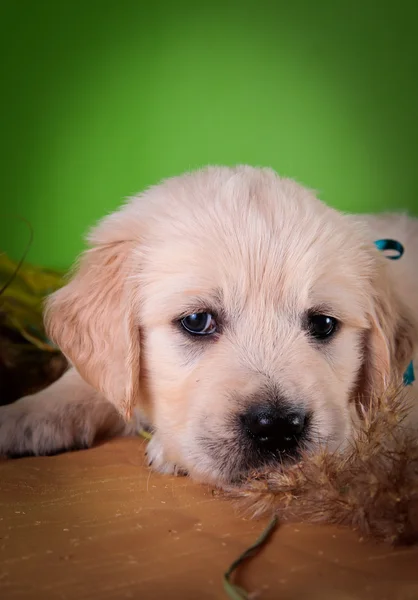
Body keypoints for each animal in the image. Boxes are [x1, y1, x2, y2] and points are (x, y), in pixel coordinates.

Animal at [0, 166, 418, 486]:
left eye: (323, 324)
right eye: (197, 321)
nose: (277, 426)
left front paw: (168, 449)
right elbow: (95, 381)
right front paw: (23, 416)